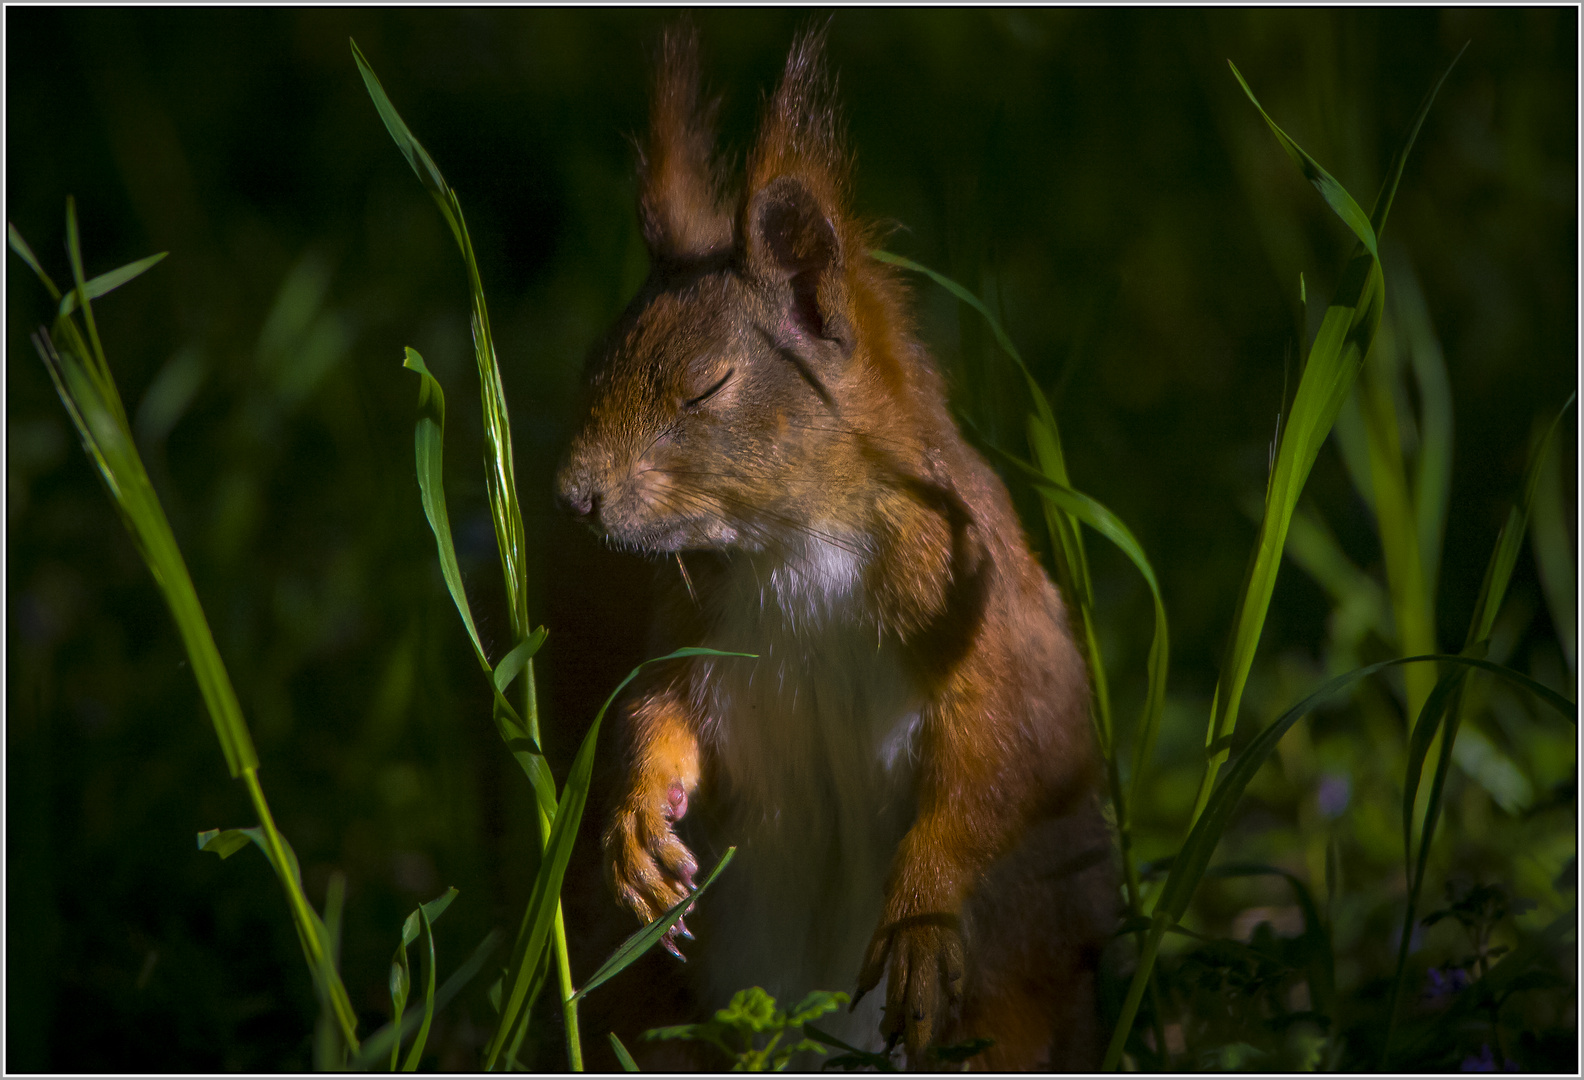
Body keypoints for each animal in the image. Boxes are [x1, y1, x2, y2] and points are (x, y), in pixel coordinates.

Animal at [557, 25, 1115, 1070]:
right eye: (596, 360)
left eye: (706, 386)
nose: (575, 497)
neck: (793, 549)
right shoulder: (696, 626)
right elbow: (655, 711)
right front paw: (636, 821)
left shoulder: (979, 606)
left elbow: (1008, 749)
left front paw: (921, 916)